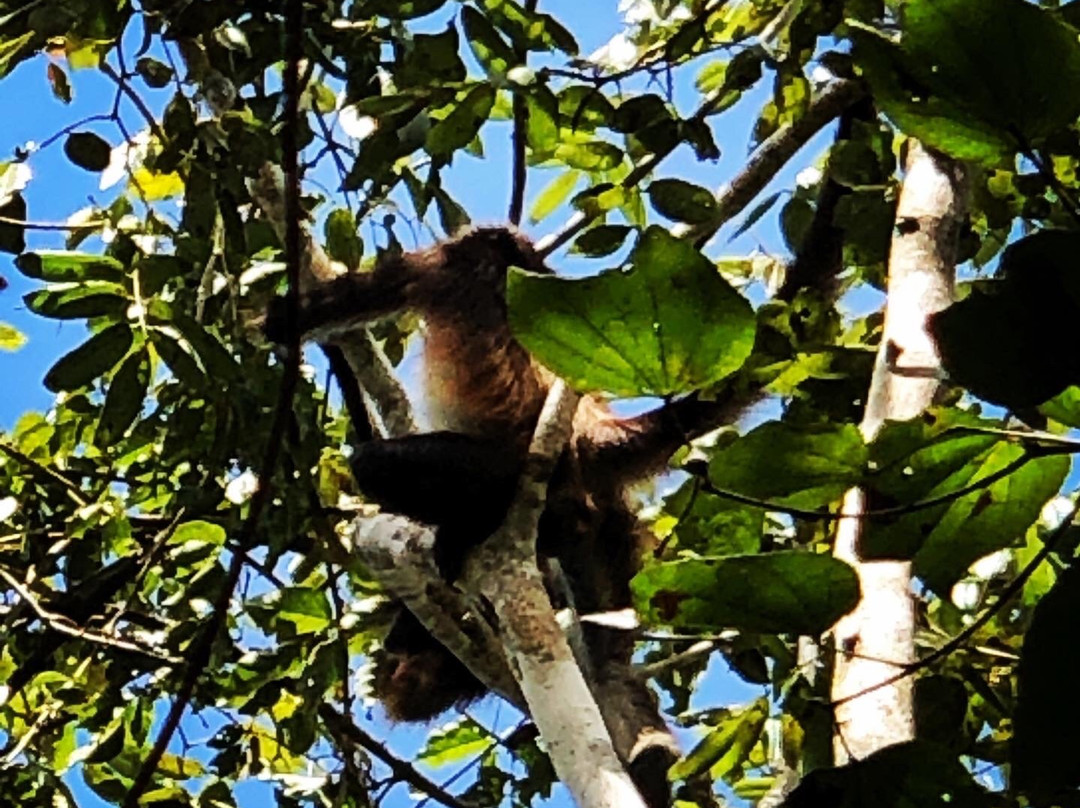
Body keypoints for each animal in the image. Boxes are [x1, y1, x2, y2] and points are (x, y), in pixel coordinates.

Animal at [266, 227, 730, 808]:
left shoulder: (439, 265)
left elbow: (292, 319)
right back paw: (651, 756)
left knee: (374, 466)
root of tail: (592, 436)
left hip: (501, 475)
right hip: (607, 532)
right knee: (611, 661)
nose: (390, 669)